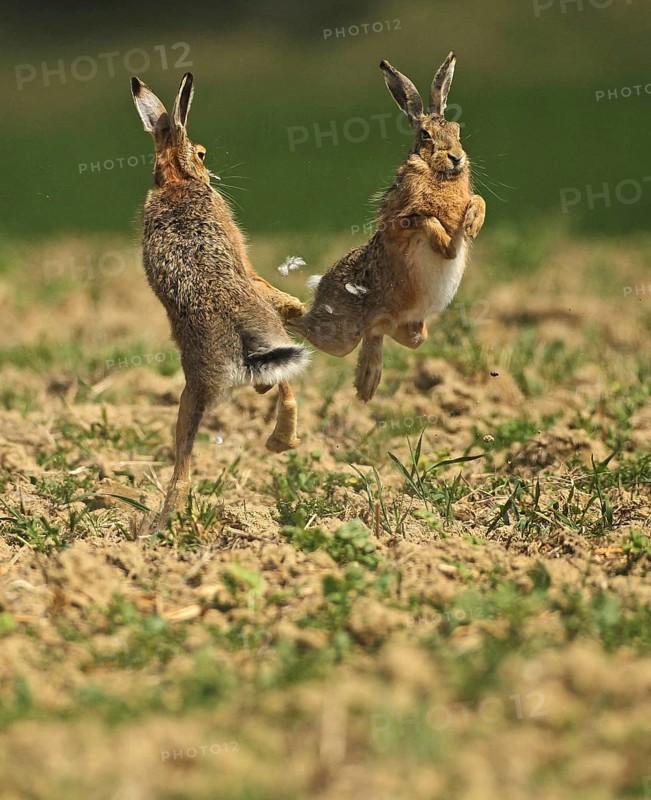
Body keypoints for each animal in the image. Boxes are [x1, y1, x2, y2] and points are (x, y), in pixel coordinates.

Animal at [131, 72, 309, 521]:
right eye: (201, 152)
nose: (210, 173)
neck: (175, 180)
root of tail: (239, 346)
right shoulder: (241, 254)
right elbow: (257, 275)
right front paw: (293, 303)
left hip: (196, 389)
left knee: (184, 462)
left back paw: (164, 521)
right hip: (268, 342)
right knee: (286, 390)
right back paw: (281, 441)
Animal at [287, 52, 486, 401]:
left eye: (458, 129)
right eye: (425, 136)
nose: (457, 158)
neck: (436, 173)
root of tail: (321, 285)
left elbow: (477, 200)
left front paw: (471, 225)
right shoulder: (398, 222)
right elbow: (426, 219)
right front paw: (445, 245)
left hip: (409, 329)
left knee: (386, 334)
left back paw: (367, 381)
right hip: (339, 336)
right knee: (302, 326)